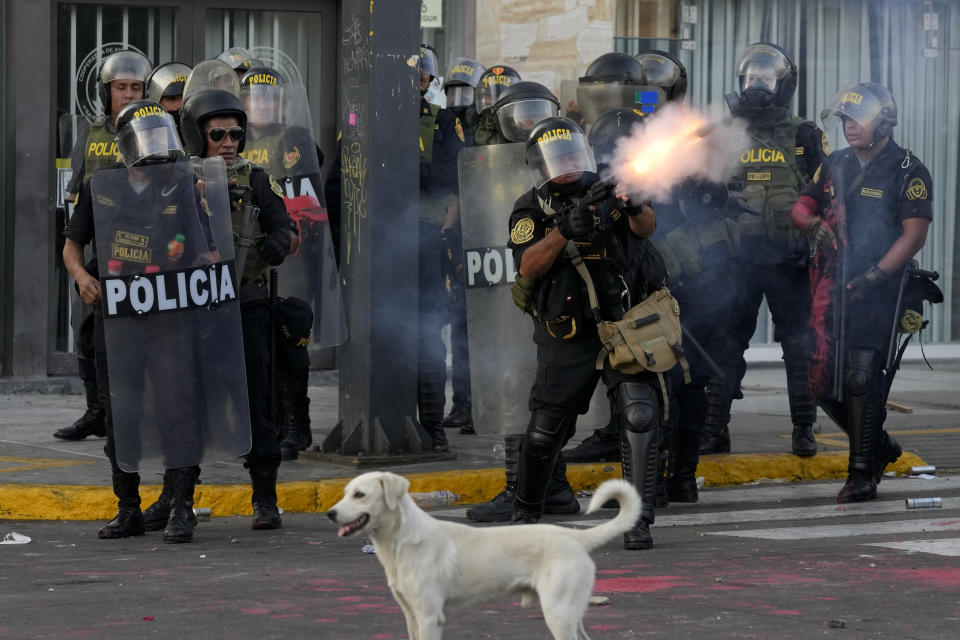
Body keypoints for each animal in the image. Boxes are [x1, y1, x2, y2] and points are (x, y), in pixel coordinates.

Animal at [326, 470, 640, 640]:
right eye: (345, 493)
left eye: (359, 495)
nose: (330, 513)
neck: (402, 541)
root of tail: (575, 537)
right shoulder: (410, 615)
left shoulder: (430, 617)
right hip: (569, 613)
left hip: (558, 612)